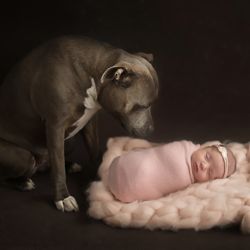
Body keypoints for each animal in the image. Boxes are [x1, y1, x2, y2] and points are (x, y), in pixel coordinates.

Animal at [0, 36, 159, 212]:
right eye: (143, 106)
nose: (151, 131)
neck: (93, 73)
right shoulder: (55, 126)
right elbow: (58, 169)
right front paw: (62, 197)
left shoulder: (89, 122)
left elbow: (93, 149)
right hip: (24, 157)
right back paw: (23, 183)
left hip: (69, 142)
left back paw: (69, 165)